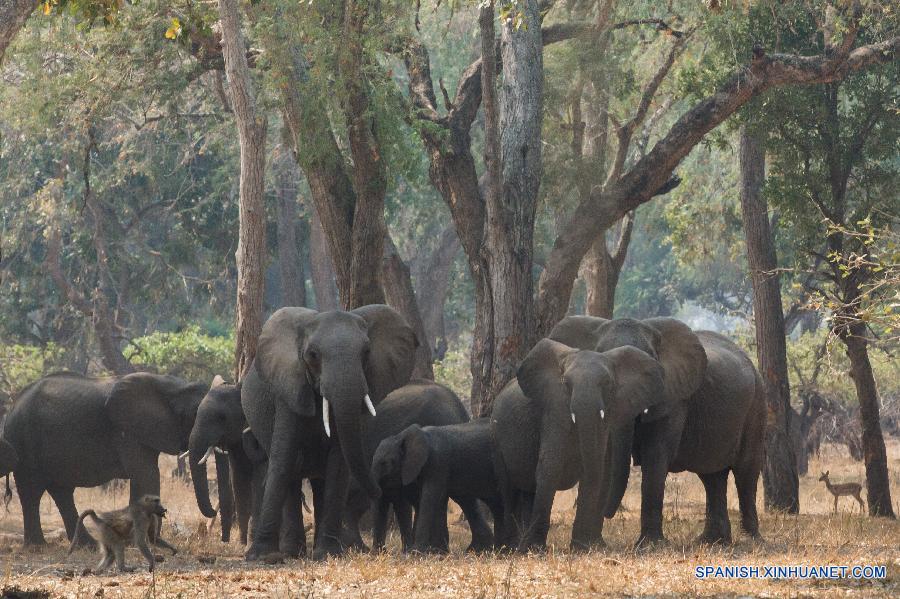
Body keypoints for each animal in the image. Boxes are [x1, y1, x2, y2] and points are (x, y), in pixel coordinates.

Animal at [4, 370, 218, 548]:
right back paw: (37, 546)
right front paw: (149, 542)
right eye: (193, 415)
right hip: (23, 439)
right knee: (32, 490)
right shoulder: (127, 431)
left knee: (61, 492)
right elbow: (146, 474)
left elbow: (145, 474)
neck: (173, 386)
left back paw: (87, 546)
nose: (214, 513)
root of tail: (13, 405)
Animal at [243, 308, 418, 560]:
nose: (378, 490)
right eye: (313, 355)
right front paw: (262, 557)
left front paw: (329, 554)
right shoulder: (289, 390)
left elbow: (338, 464)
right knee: (293, 473)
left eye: (366, 352)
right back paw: (292, 553)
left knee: (320, 481)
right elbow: (284, 458)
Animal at [370, 418, 502, 552]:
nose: (379, 551)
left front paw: (417, 552)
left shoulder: (438, 463)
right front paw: (436, 552)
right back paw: (480, 550)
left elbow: (429, 498)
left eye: (385, 463)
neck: (401, 436)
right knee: (470, 501)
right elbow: (431, 500)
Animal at [492, 338, 668, 552]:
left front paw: (581, 548)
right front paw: (536, 550)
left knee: (528, 492)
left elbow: (595, 468)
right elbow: (550, 466)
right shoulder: (554, 408)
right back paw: (510, 548)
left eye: (607, 384)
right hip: (496, 437)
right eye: (566, 384)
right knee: (507, 489)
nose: (608, 514)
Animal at [548, 318, 768, 548]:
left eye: (648, 367)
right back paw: (712, 541)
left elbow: (655, 455)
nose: (608, 515)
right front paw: (594, 544)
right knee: (712, 476)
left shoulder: (673, 397)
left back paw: (750, 540)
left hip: (757, 404)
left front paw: (648, 546)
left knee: (745, 471)